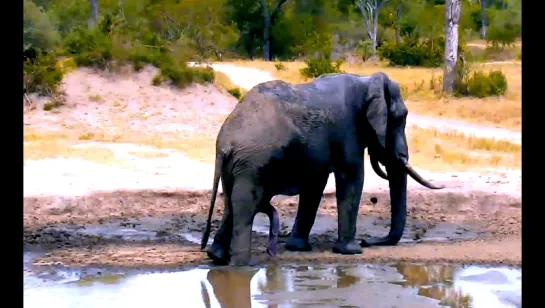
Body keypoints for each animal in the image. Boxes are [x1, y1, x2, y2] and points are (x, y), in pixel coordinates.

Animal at [200, 71, 442, 266]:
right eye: (399, 119)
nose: (368, 240)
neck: (365, 81)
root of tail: (225, 142)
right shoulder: (347, 130)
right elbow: (352, 177)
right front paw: (352, 251)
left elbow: (315, 185)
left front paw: (298, 248)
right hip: (252, 163)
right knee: (245, 207)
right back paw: (242, 265)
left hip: (238, 165)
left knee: (231, 204)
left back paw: (216, 257)